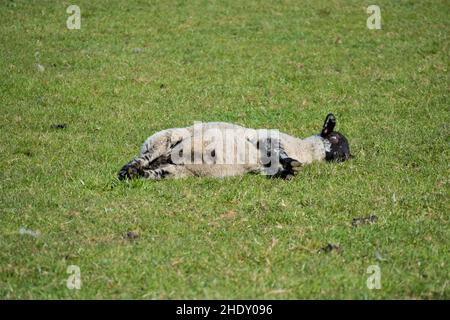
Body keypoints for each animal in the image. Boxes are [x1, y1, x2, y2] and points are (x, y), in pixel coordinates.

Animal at [118, 114, 350, 181]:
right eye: (335, 138)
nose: (346, 157)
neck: (302, 149)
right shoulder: (267, 139)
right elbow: (279, 154)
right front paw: (292, 165)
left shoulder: (259, 168)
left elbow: (274, 171)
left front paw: (288, 172)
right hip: (164, 140)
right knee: (142, 159)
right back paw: (125, 170)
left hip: (174, 171)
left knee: (151, 172)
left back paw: (133, 174)